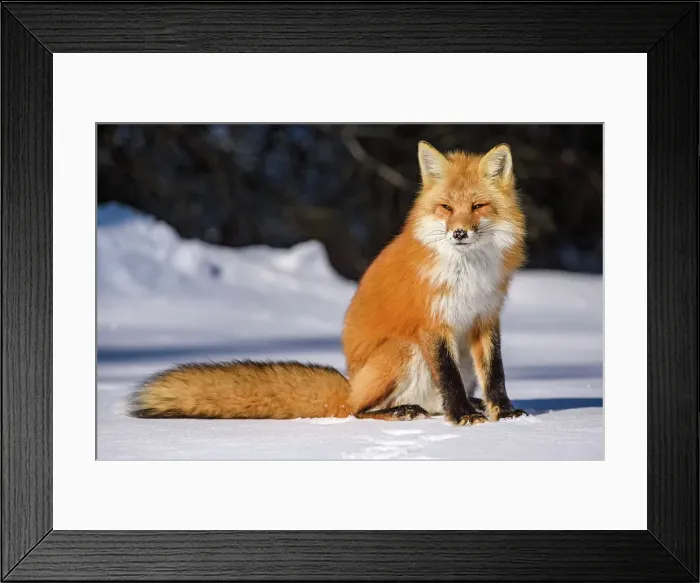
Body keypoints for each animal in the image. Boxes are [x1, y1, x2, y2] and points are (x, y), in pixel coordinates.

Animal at [132, 141, 527, 425]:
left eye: (478, 206)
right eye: (446, 208)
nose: (459, 233)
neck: (468, 275)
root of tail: (348, 386)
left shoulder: (485, 317)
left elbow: (496, 374)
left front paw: (503, 413)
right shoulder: (432, 323)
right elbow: (449, 379)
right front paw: (462, 416)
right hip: (402, 350)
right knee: (358, 411)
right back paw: (402, 411)